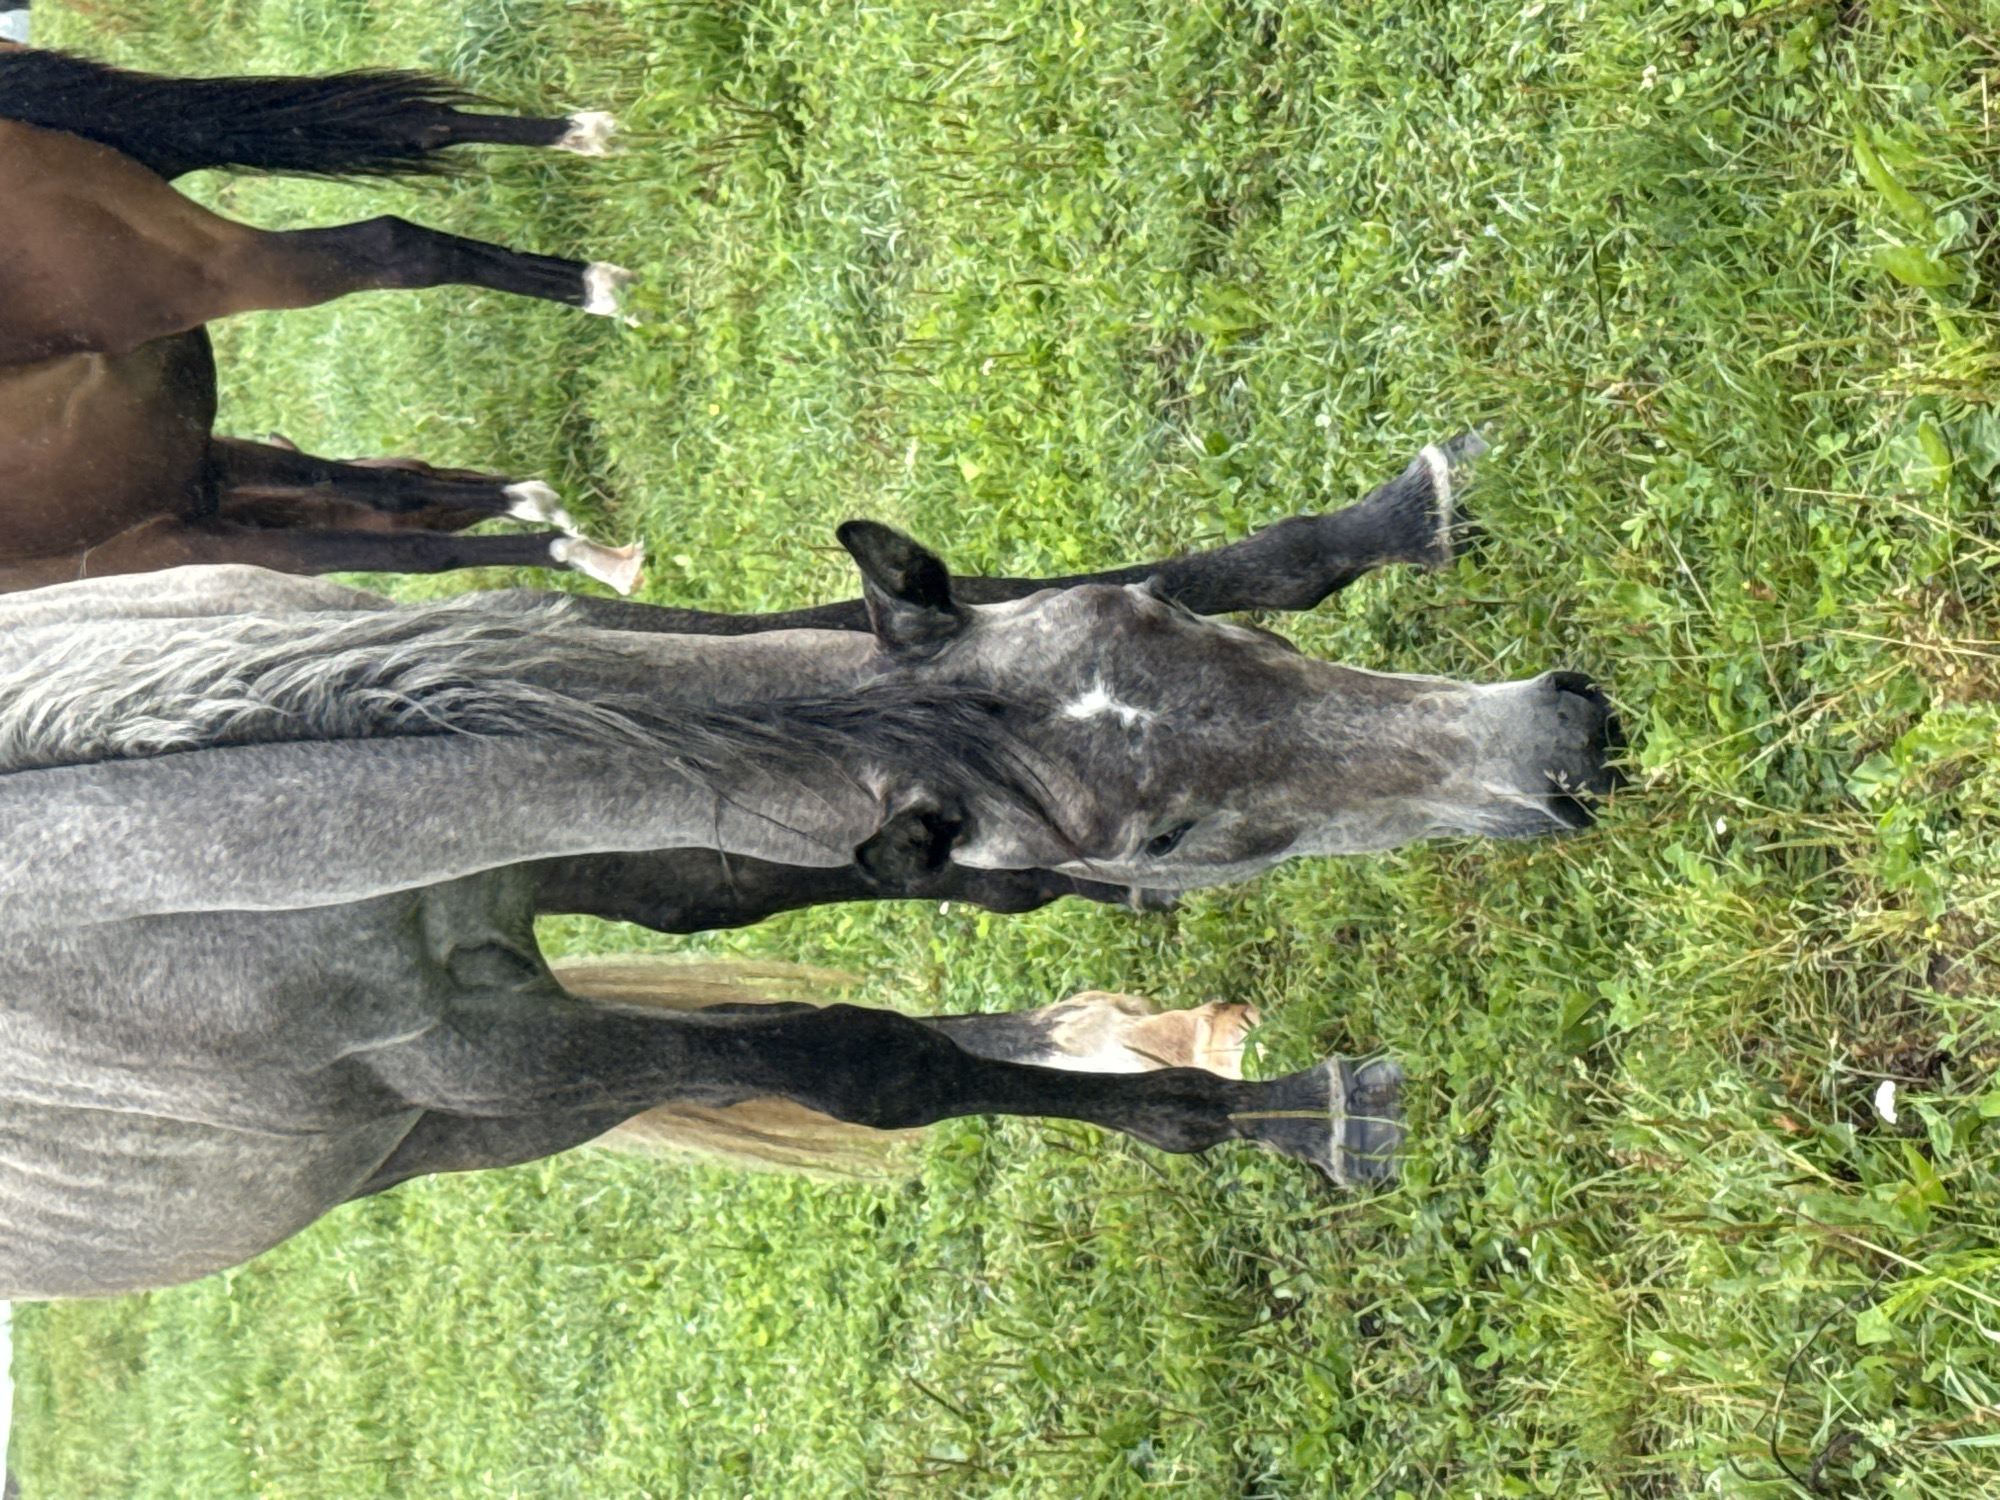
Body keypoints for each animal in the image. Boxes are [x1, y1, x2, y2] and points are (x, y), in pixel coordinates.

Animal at [0, 46, 644, 593]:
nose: (470, 486)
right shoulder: (194, 490)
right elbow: (395, 510)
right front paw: (543, 512)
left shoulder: (173, 531)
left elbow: (405, 541)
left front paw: (581, 550)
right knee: (401, 129)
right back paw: (583, 147)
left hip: (200, 266)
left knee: (394, 240)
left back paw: (604, 286)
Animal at [0, 507, 1616, 1299]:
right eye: (1173, 827)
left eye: (1168, 621)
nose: (1561, 744)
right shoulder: (489, 1055)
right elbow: (867, 1062)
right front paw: (1285, 1117)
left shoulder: (571, 759)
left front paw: (1401, 514)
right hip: (441, 1135)